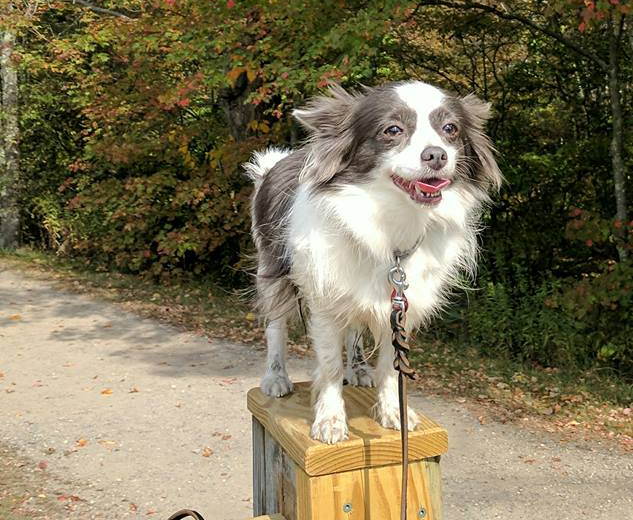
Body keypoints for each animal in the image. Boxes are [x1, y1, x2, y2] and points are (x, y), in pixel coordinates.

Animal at [244, 80, 502, 442]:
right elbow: (329, 365)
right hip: (274, 273)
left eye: (450, 129)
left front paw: (392, 411)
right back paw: (276, 377)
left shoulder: (401, 306)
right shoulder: (325, 300)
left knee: (353, 330)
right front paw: (330, 420)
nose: (437, 155)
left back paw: (358, 368)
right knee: (276, 326)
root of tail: (275, 165)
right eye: (392, 130)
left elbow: (390, 366)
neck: (391, 221)